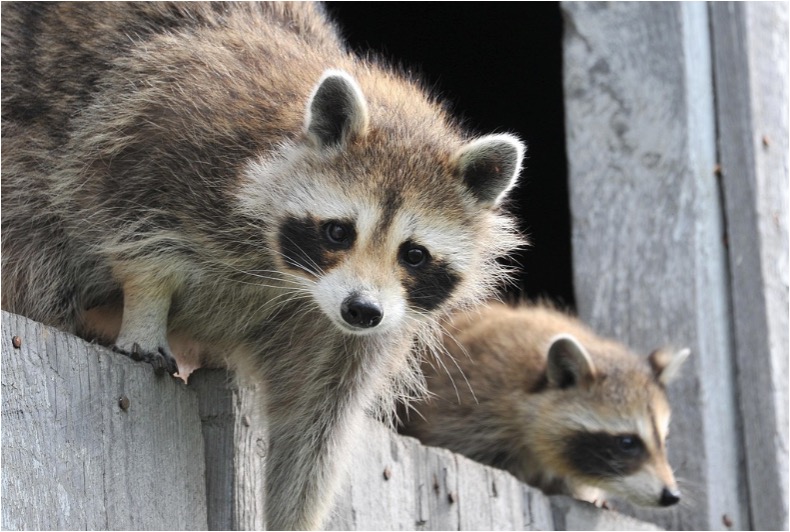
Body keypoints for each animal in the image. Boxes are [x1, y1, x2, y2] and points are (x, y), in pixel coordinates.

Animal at [1, 3, 524, 529]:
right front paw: (146, 307)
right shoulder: (167, 132)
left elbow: (315, 426)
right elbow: (130, 222)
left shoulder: (351, 332)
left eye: (413, 254)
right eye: (339, 232)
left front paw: (295, 512)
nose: (361, 310)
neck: (290, 278)